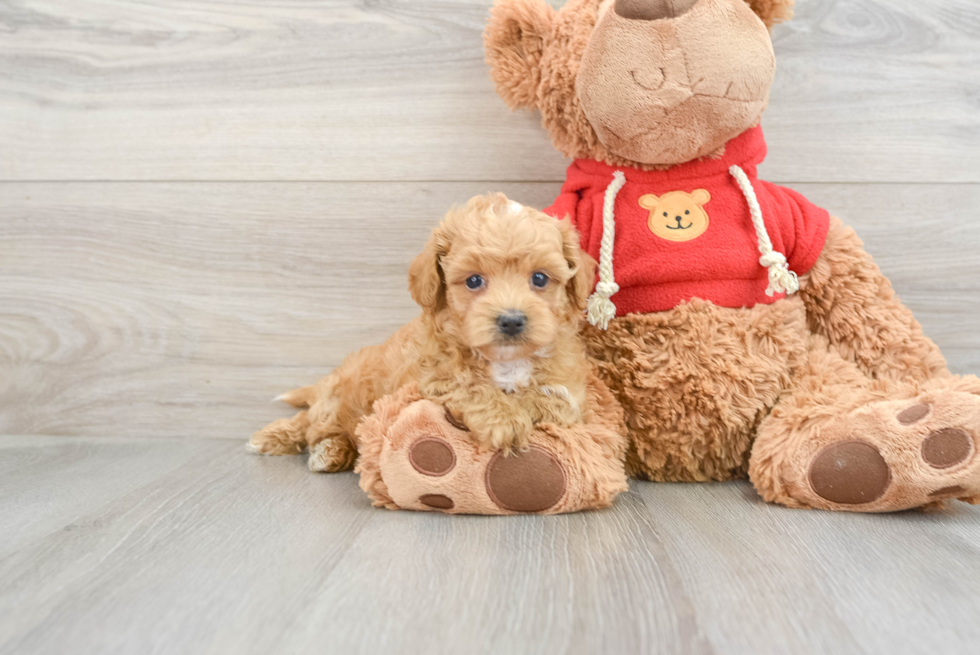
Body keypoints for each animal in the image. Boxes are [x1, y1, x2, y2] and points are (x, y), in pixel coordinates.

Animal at [249, 192, 592, 474]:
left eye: (539, 278)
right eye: (473, 281)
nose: (511, 321)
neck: (504, 361)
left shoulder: (568, 385)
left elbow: (555, 399)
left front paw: (524, 406)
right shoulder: (429, 378)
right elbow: (468, 385)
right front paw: (503, 420)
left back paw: (331, 451)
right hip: (339, 396)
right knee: (310, 422)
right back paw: (283, 440)